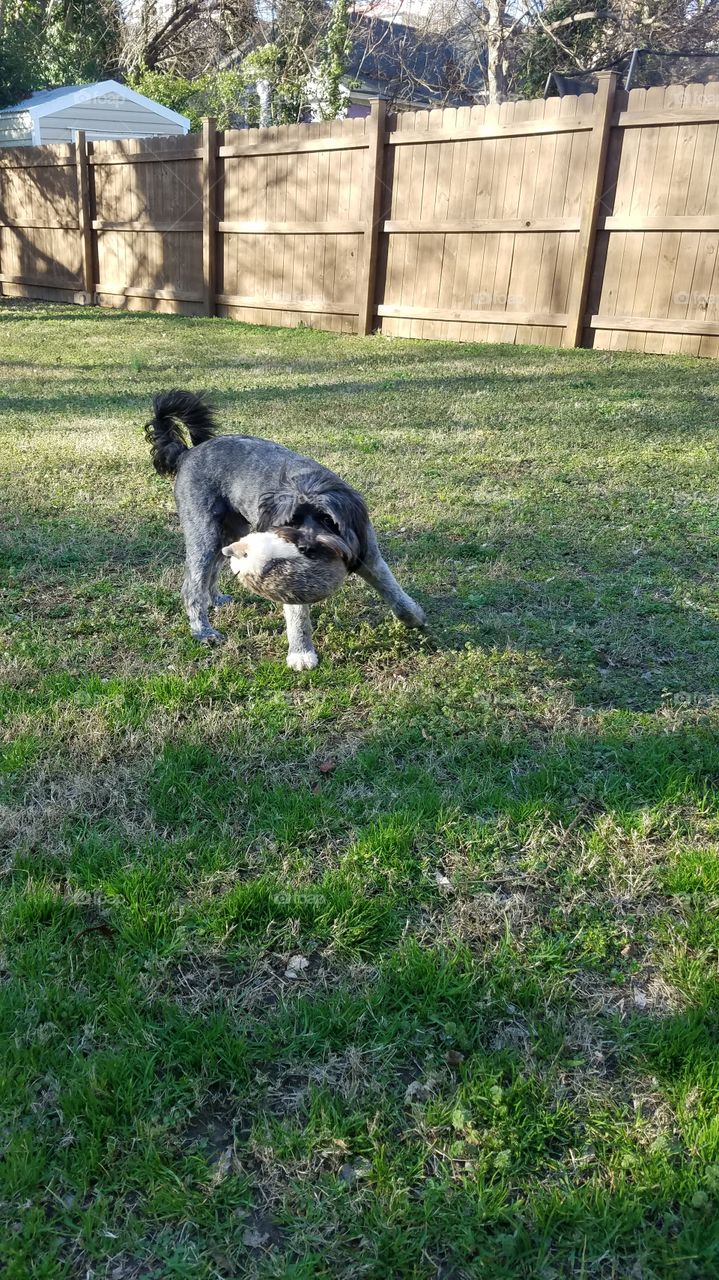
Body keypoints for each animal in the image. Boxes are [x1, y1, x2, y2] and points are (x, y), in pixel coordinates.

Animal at [146, 386, 424, 670]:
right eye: (291, 521)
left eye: (328, 520)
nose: (306, 547)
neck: (308, 482)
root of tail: (187, 453)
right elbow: (297, 615)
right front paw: (301, 653)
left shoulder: (368, 555)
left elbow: (391, 588)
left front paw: (413, 617)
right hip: (204, 533)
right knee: (192, 584)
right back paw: (202, 630)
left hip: (228, 533)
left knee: (213, 567)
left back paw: (215, 599)